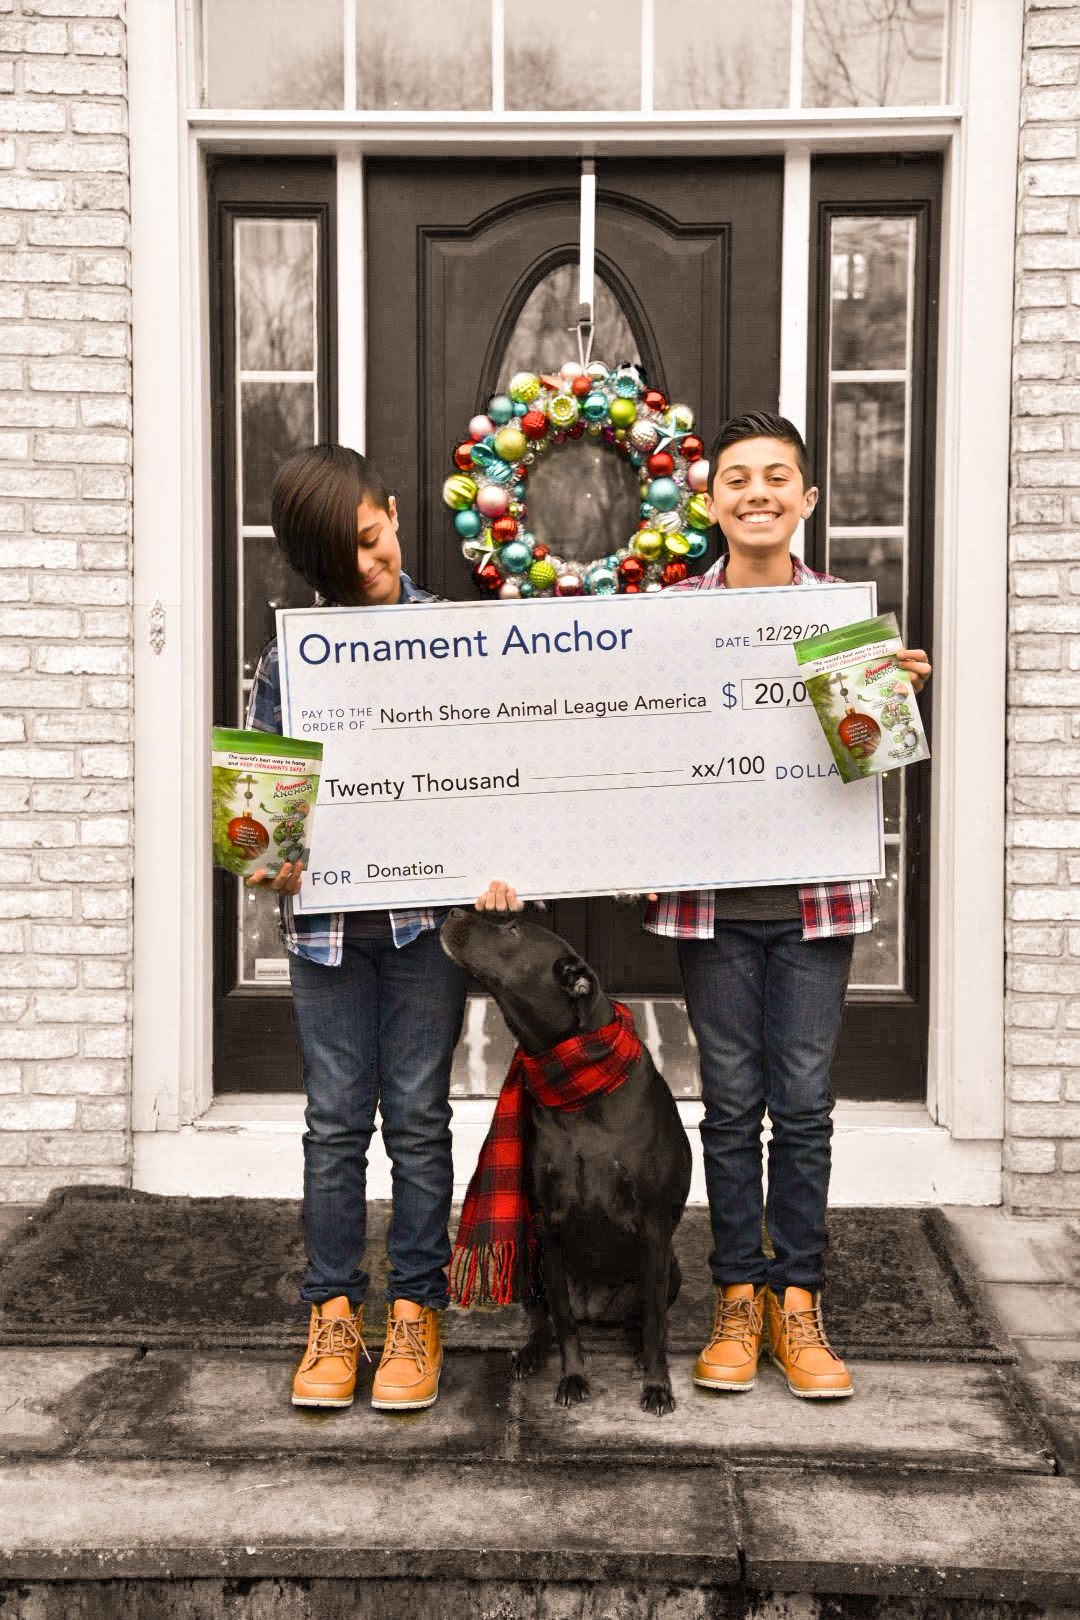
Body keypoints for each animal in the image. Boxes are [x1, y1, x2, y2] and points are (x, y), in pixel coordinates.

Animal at [440, 913, 693, 1419]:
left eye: (513, 930)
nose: (454, 912)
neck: (577, 1083)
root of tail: (598, 1308)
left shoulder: (654, 1229)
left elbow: (656, 1325)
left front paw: (657, 1385)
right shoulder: (548, 1228)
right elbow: (563, 1324)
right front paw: (573, 1377)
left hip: (667, 1267)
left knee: (643, 1319)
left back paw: (638, 1350)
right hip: (529, 1264)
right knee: (551, 1320)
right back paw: (532, 1352)